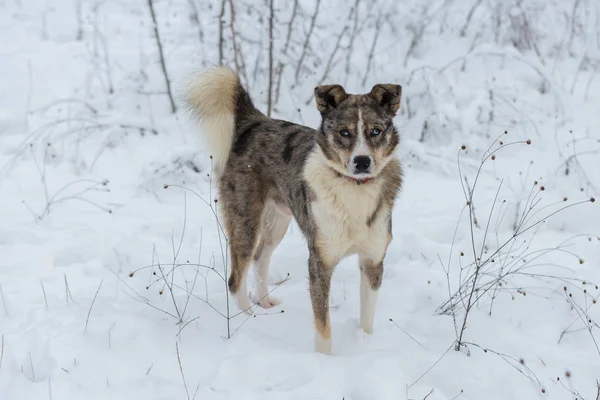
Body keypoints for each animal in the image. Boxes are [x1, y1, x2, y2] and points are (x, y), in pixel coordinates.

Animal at [188, 66, 404, 354]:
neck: (354, 188)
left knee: (260, 258)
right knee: (235, 279)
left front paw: (365, 343)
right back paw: (249, 322)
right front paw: (324, 359)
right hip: (246, 220)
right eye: (345, 132)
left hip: (277, 221)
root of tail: (255, 121)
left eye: (376, 131)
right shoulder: (320, 261)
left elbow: (367, 316)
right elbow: (323, 326)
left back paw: (264, 303)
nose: (362, 161)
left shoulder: (373, 260)